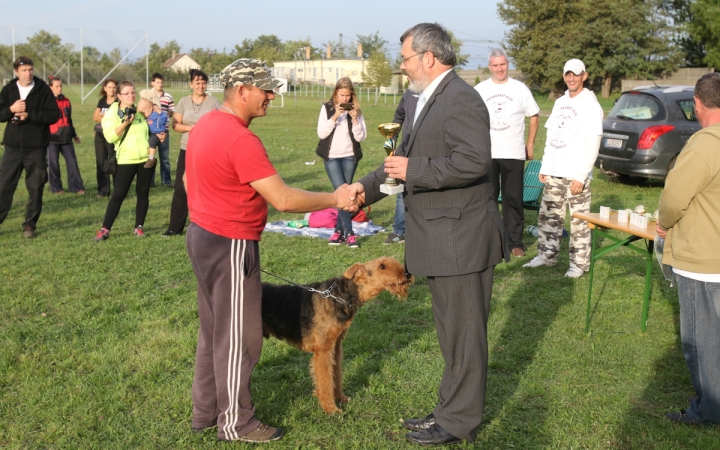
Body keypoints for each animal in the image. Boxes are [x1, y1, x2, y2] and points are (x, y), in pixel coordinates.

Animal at [262, 256, 410, 414]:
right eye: (382, 266)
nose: (407, 274)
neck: (340, 296)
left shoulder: (336, 345)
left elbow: (336, 374)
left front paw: (341, 398)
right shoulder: (323, 350)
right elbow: (325, 380)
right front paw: (331, 409)